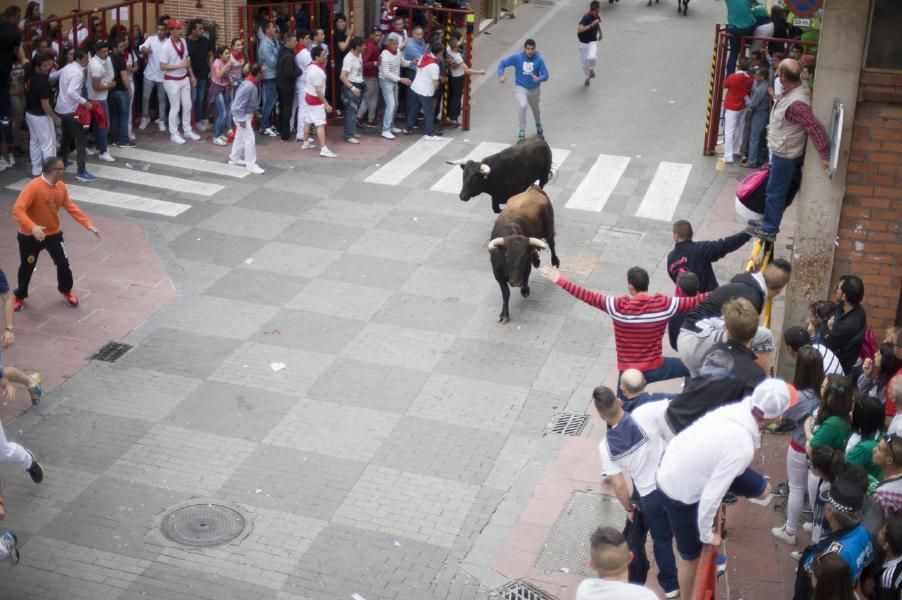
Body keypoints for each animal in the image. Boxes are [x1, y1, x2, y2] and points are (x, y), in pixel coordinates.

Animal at [488, 185, 556, 324]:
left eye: (524, 259)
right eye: (506, 257)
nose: (515, 282)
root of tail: (534, 189)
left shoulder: (526, 267)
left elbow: (525, 277)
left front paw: (525, 290)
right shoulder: (498, 274)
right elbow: (506, 293)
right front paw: (504, 315)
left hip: (549, 229)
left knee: (552, 243)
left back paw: (555, 261)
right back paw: (537, 260)